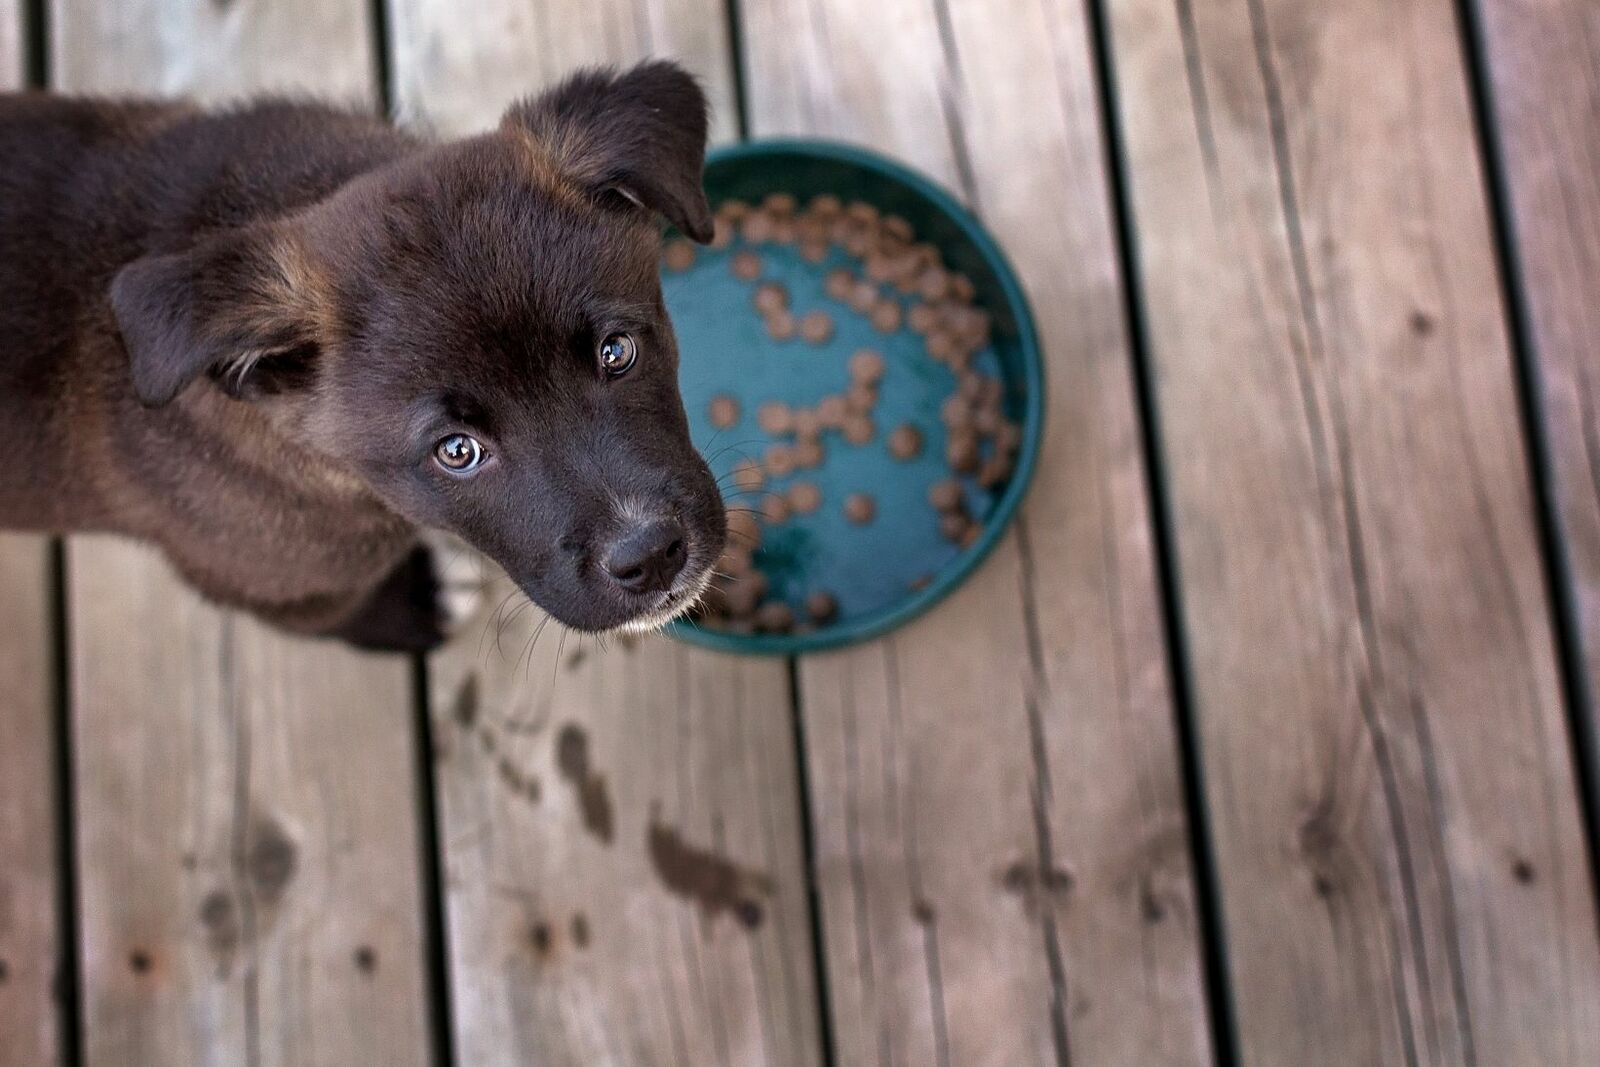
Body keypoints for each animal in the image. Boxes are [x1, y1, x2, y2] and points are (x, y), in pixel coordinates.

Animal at [0, 62, 726, 655]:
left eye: (617, 352)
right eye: (456, 451)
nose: (650, 556)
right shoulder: (268, 582)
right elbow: (337, 616)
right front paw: (419, 607)